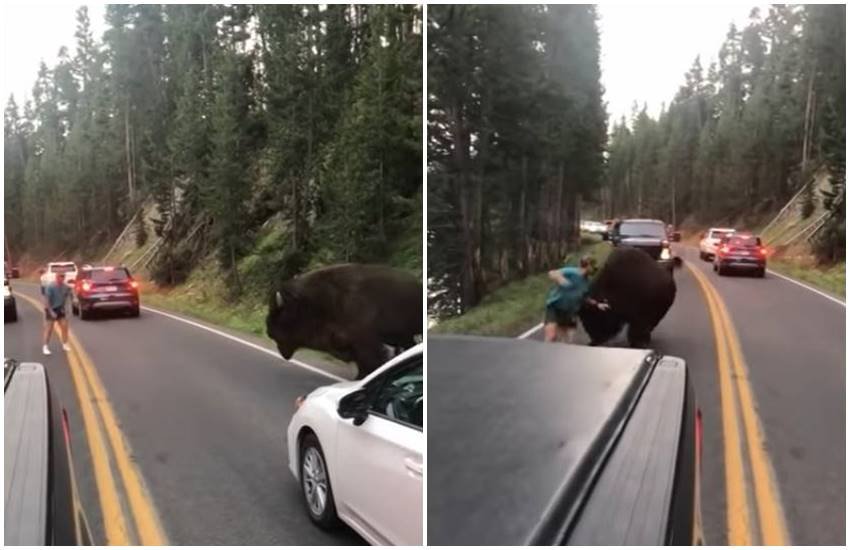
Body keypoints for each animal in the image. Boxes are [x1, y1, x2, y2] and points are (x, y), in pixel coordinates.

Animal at [266, 263, 422, 379]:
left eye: (282, 313)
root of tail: (417, 284)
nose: (268, 330)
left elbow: (371, 362)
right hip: (403, 337)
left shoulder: (365, 343)